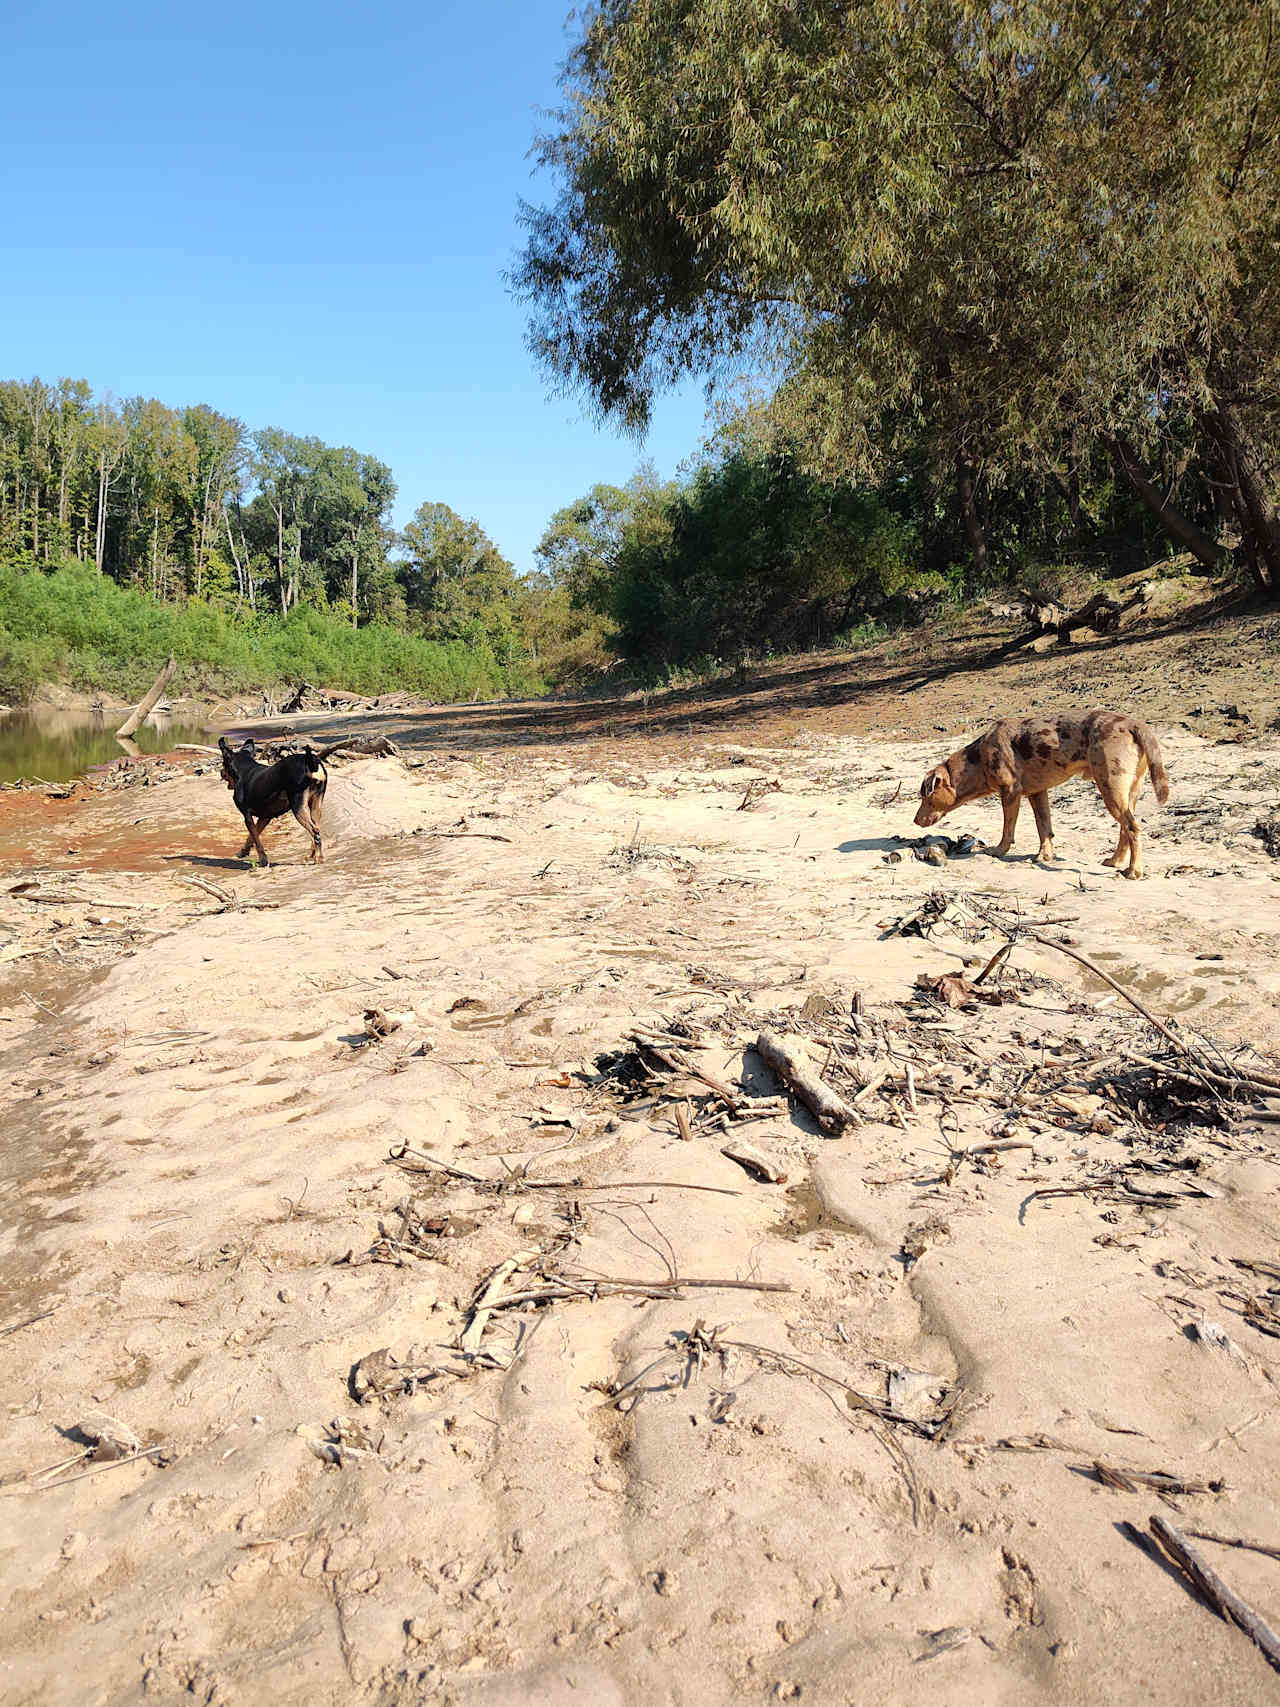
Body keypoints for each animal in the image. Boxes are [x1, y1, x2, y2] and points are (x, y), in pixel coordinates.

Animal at [216, 734, 327, 867]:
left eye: (223, 763)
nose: (220, 772)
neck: (243, 771)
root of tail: (311, 763)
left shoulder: (247, 816)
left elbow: (256, 839)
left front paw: (263, 860)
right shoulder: (265, 817)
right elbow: (252, 836)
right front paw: (243, 852)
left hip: (298, 806)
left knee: (314, 831)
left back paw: (318, 857)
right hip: (316, 806)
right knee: (316, 829)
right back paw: (312, 855)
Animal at [914, 706, 1174, 880]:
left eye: (924, 796)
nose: (915, 821)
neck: (977, 761)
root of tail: (1133, 723)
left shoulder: (1010, 793)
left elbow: (1007, 830)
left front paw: (998, 851)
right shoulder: (1038, 794)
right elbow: (1044, 829)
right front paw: (1044, 856)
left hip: (1110, 788)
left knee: (1132, 828)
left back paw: (1134, 870)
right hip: (1125, 793)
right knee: (1124, 829)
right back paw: (1115, 861)